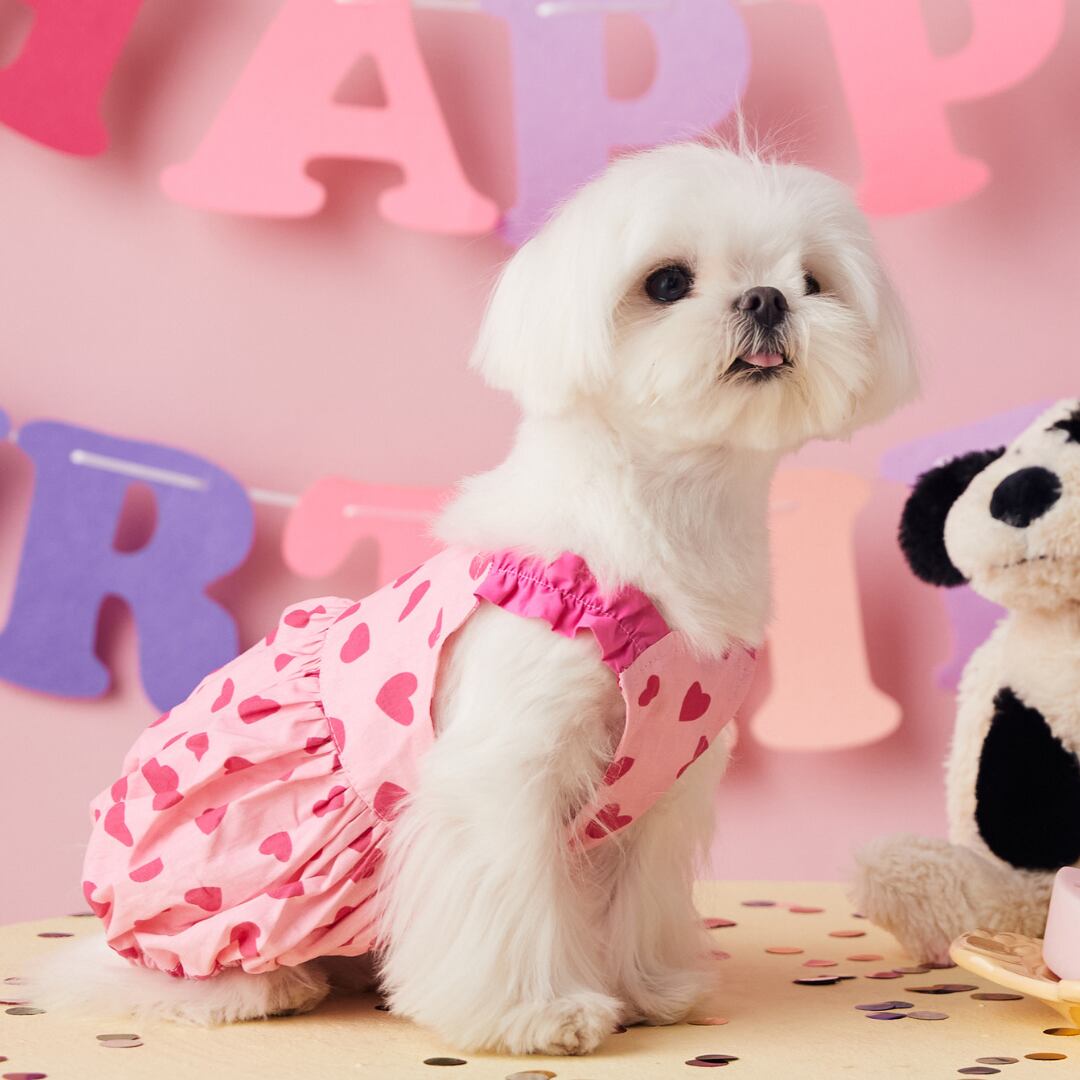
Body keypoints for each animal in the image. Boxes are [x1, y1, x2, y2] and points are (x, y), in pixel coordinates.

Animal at [41, 141, 916, 1056]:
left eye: (812, 279)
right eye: (668, 281)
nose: (767, 299)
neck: (672, 518)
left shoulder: (662, 786)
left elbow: (635, 898)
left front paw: (648, 989)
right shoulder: (507, 769)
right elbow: (512, 897)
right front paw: (539, 1013)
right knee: (144, 973)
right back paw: (261, 983)